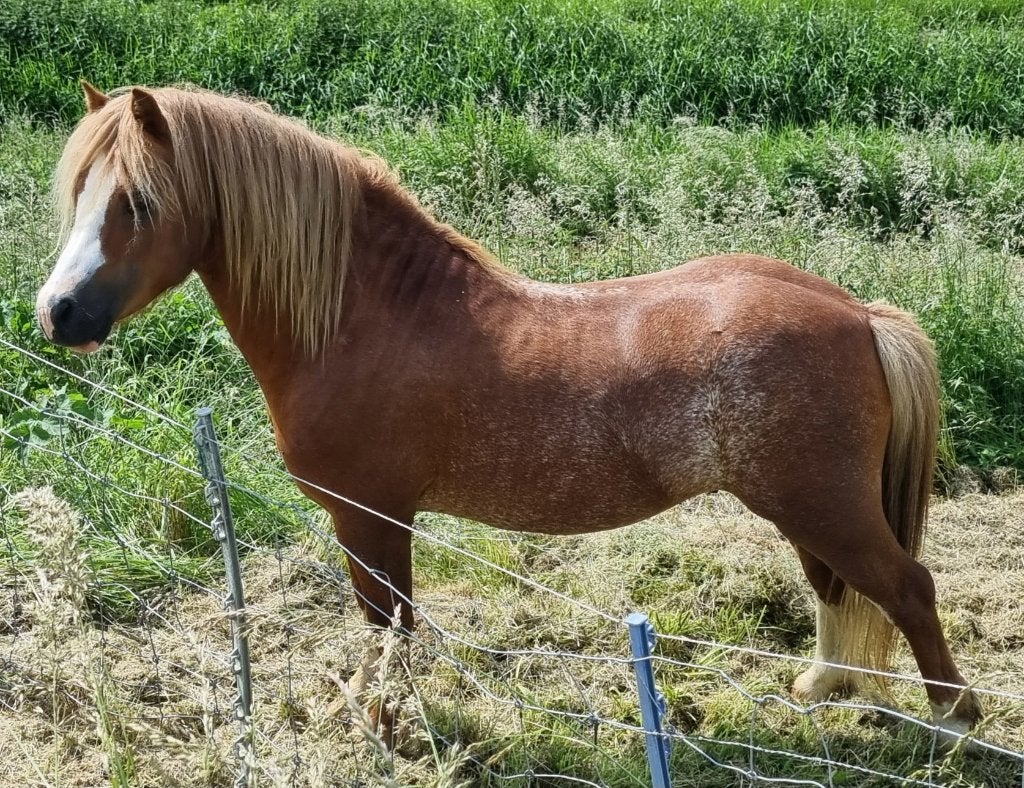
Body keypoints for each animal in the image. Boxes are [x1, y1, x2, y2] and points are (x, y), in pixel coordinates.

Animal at [37, 82, 981, 739]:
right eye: (77, 193)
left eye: (139, 203)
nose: (58, 313)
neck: (366, 317)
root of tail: (857, 313)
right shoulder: (377, 520)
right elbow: (390, 628)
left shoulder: (371, 519)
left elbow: (389, 627)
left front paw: (384, 725)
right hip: (804, 504)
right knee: (836, 586)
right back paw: (823, 688)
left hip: (822, 502)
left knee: (906, 587)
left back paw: (955, 721)